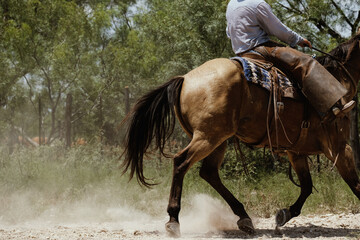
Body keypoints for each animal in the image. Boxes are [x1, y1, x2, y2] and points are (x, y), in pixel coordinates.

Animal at [121, 30, 360, 236]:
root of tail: (185, 78)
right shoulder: (340, 147)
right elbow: (355, 184)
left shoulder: (296, 152)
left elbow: (307, 187)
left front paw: (283, 215)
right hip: (208, 137)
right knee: (181, 162)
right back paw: (173, 221)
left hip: (218, 140)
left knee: (209, 172)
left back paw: (244, 217)